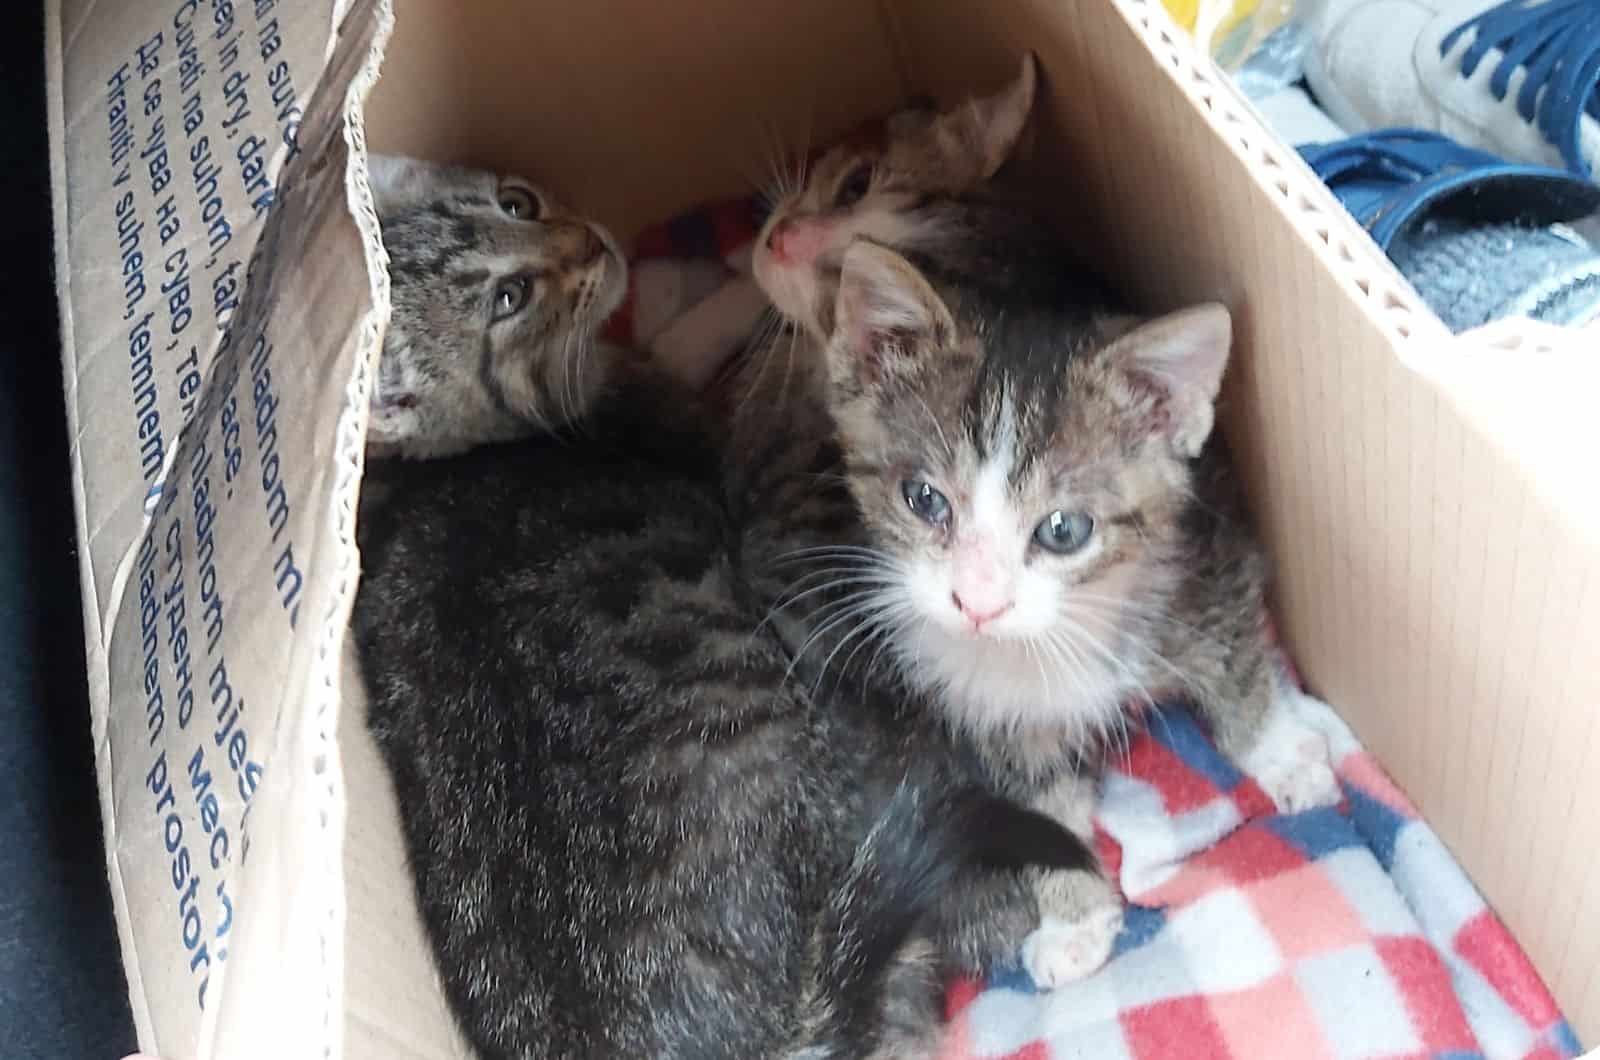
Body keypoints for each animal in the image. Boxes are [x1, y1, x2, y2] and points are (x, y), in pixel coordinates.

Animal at [355, 157, 1094, 1060]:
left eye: (518, 202)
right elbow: (691, 342)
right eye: (510, 298)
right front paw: (740, 275)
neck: (465, 449)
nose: (593, 242)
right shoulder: (683, 415)